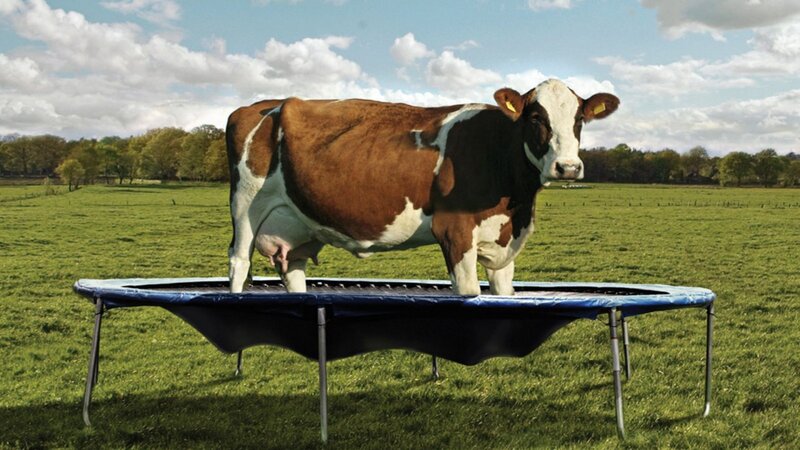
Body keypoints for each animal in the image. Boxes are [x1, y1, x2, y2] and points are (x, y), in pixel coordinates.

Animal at [226, 79, 619, 295]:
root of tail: (260, 106)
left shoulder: (503, 239)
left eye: (579, 119)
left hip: (295, 227)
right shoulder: (454, 232)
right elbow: (468, 291)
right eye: (536, 117)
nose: (568, 167)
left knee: (293, 269)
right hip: (245, 207)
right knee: (239, 263)